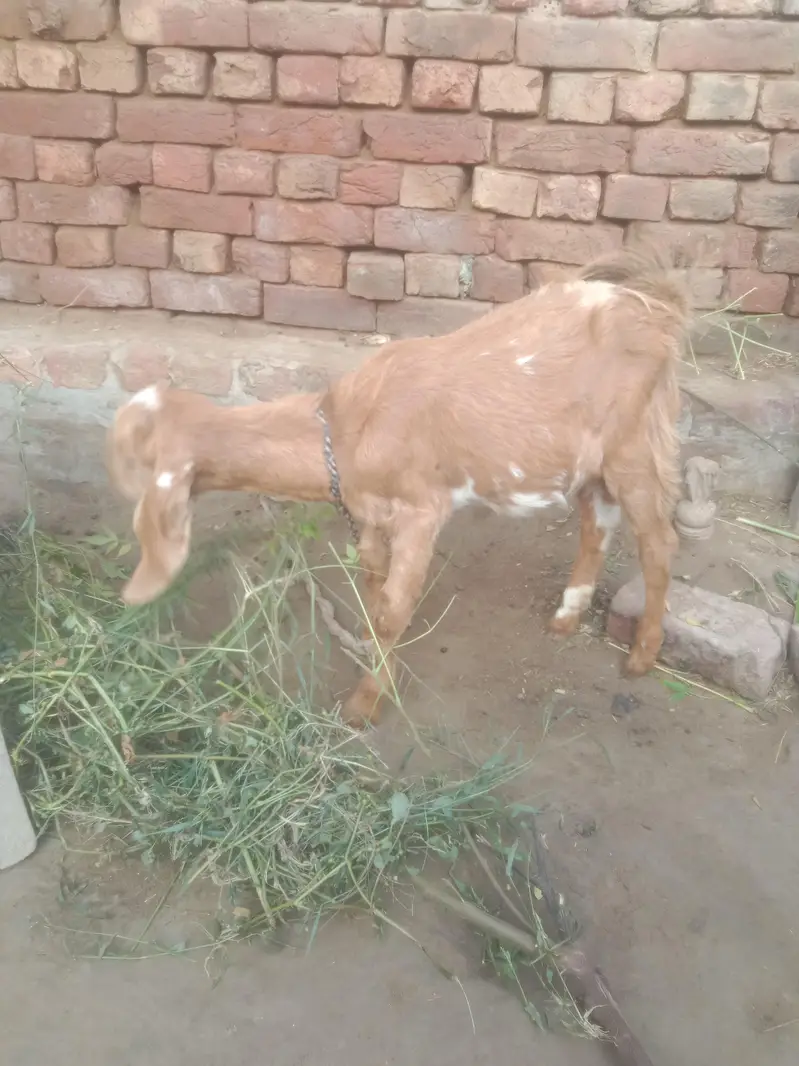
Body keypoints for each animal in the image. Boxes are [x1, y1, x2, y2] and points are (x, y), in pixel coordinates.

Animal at [108, 246, 689, 727]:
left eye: (130, 457)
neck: (347, 430)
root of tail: (655, 302)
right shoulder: (367, 513)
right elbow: (371, 582)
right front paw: (366, 643)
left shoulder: (421, 510)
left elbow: (394, 606)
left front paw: (365, 704)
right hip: (593, 463)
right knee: (597, 527)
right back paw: (566, 618)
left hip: (635, 443)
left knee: (659, 542)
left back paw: (642, 655)